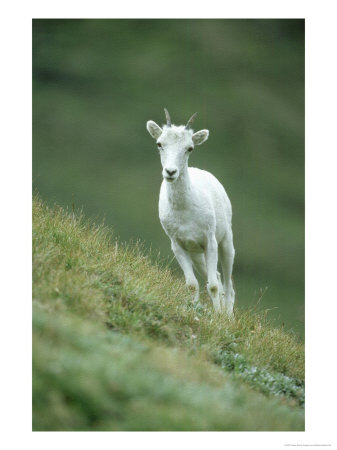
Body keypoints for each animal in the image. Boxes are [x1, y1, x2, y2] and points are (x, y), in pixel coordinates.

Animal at [146, 108, 235, 312]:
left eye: (190, 148)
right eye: (159, 143)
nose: (171, 172)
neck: (185, 213)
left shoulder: (210, 242)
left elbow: (212, 286)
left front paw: (216, 316)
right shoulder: (178, 245)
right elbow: (192, 284)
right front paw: (193, 310)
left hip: (226, 242)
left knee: (228, 285)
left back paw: (226, 315)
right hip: (196, 254)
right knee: (219, 279)